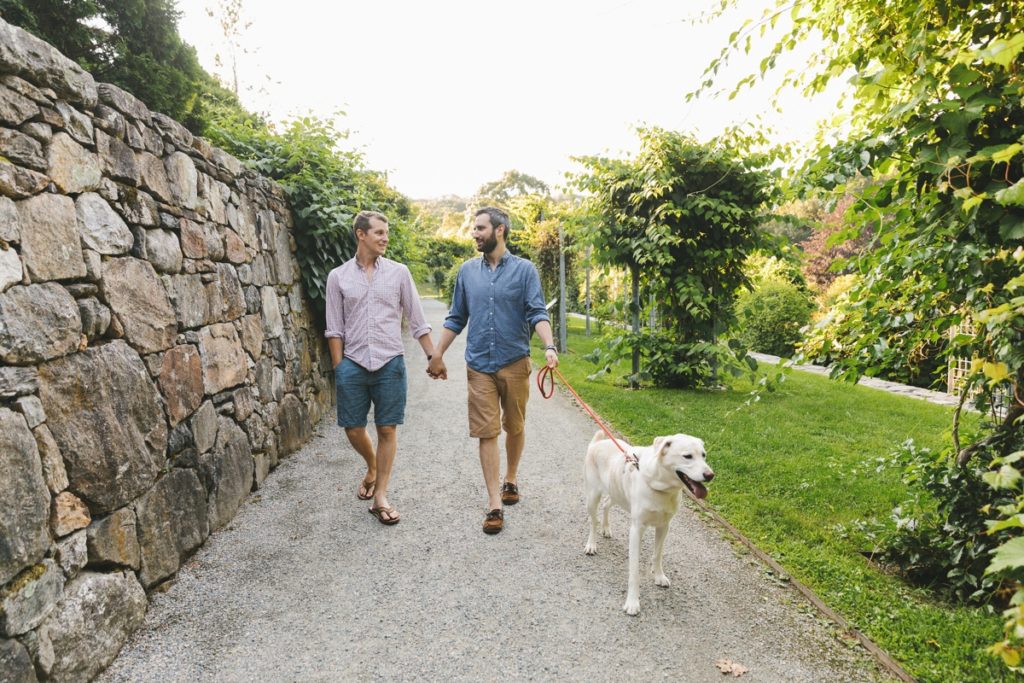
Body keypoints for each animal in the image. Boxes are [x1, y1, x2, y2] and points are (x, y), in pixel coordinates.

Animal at [585, 430, 712, 618]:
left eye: (704, 455)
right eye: (687, 456)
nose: (710, 475)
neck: (662, 487)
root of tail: (597, 443)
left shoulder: (664, 526)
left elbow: (657, 554)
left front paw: (658, 576)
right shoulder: (636, 529)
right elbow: (634, 572)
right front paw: (632, 602)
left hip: (616, 493)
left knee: (607, 504)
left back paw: (606, 528)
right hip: (593, 496)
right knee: (593, 520)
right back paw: (591, 544)